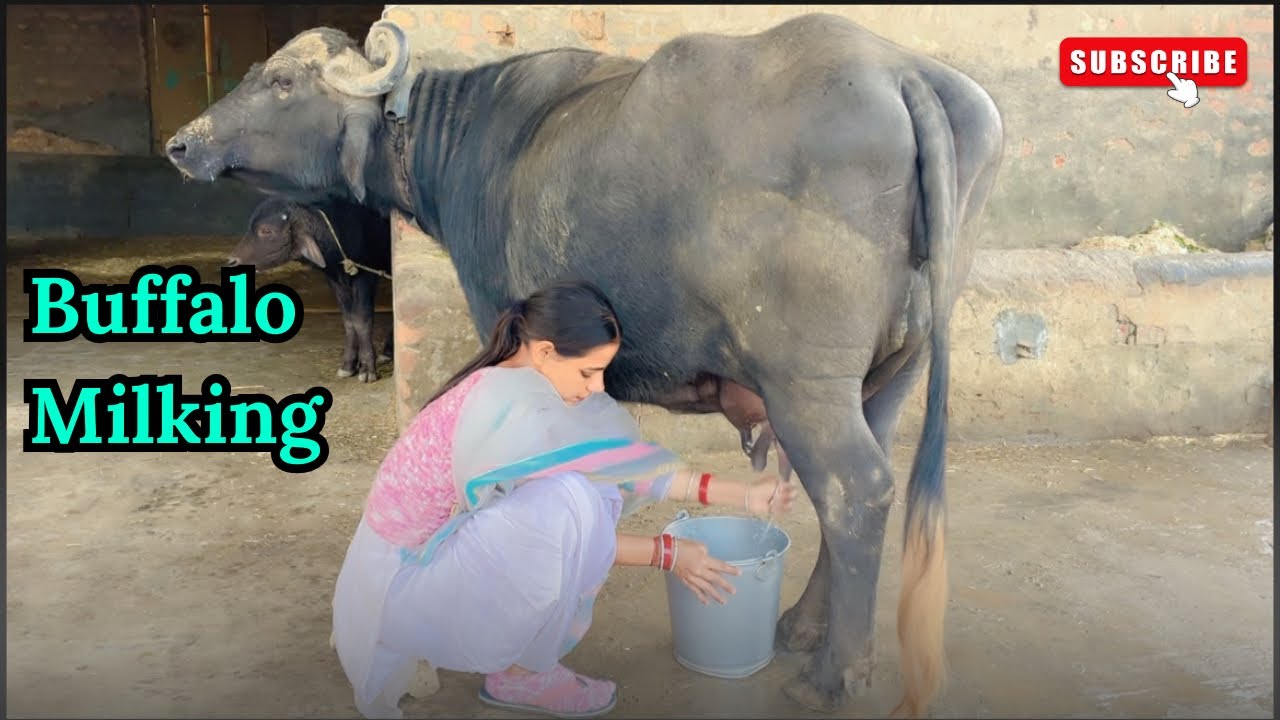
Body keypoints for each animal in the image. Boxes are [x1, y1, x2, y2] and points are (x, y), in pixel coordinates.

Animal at [228, 197, 394, 383]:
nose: (233, 261)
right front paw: (348, 366)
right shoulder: (335, 280)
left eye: (266, 230)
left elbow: (361, 320)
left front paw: (367, 369)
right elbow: (349, 320)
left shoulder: (365, 276)